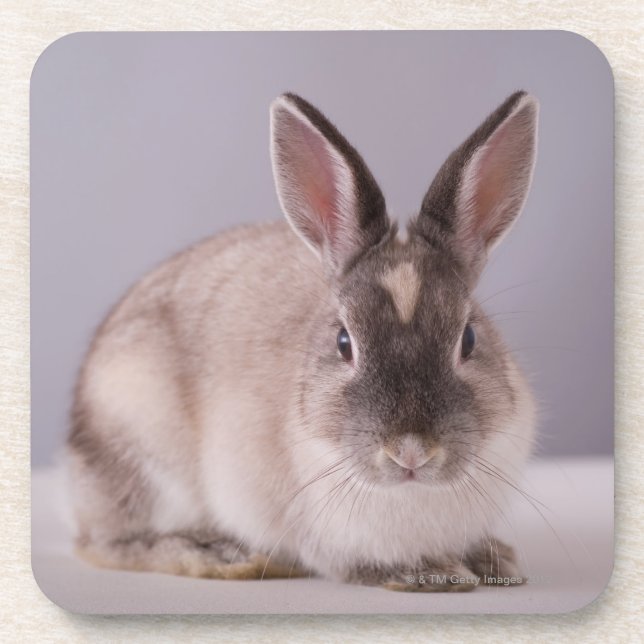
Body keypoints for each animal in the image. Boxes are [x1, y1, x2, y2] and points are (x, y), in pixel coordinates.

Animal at [67, 90, 538, 592]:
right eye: (344, 342)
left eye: (468, 339)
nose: (410, 451)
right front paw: (431, 573)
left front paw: (495, 561)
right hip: (143, 453)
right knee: (108, 543)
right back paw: (220, 554)